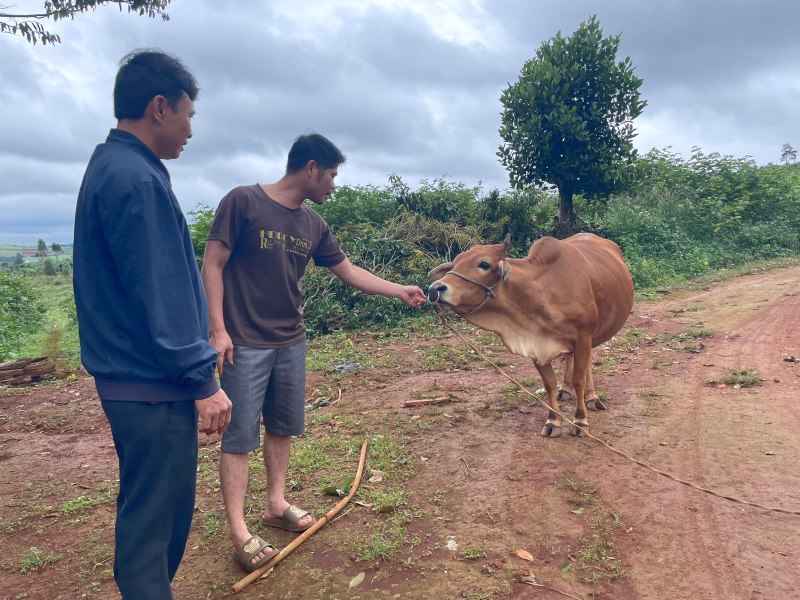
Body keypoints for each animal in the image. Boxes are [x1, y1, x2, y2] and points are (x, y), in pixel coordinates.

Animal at [427, 233, 634, 438]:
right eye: (455, 264)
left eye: (484, 264)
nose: (434, 289)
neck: (541, 290)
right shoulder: (536, 343)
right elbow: (549, 383)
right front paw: (553, 421)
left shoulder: (583, 336)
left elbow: (579, 380)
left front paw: (580, 421)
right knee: (570, 359)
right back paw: (566, 389)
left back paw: (591, 397)